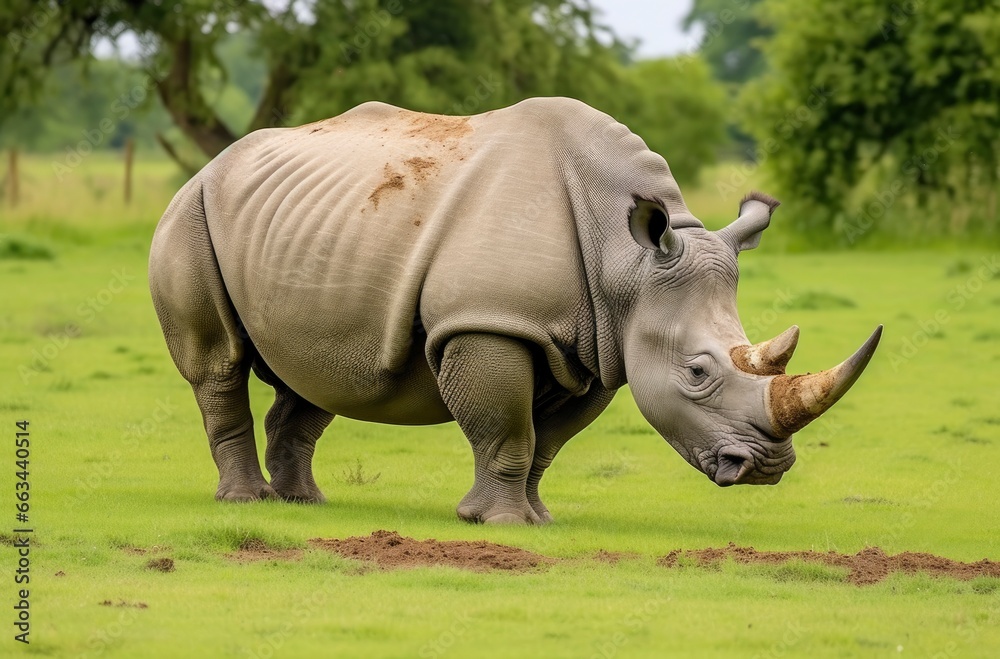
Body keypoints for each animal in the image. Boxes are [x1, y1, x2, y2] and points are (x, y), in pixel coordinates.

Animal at [149, 97, 881, 524]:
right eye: (698, 373)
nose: (766, 469)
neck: (628, 264)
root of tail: (212, 166)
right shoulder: (491, 321)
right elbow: (506, 427)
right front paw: (497, 523)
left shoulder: (599, 347)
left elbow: (546, 442)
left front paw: (537, 518)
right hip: (191, 214)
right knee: (219, 363)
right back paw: (249, 501)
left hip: (305, 226)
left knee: (318, 368)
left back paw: (306, 502)